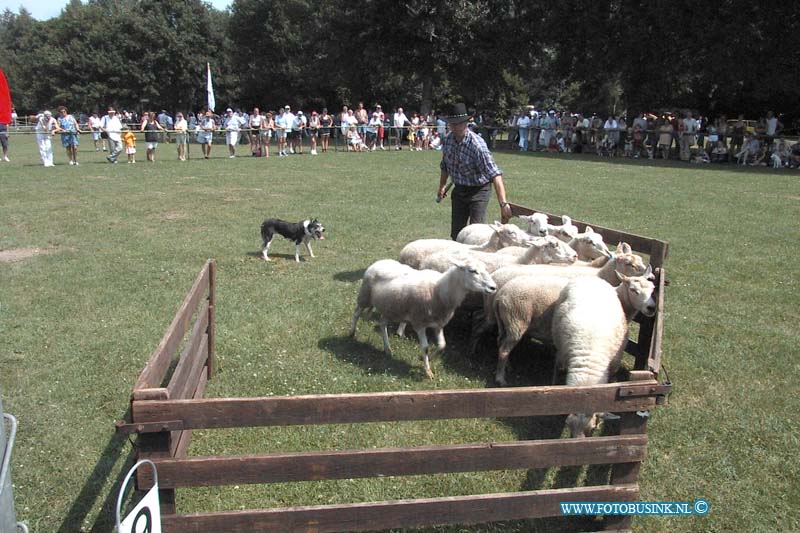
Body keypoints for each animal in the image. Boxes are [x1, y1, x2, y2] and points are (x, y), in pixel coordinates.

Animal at [348, 258, 496, 378]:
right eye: (473, 271)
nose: (493, 287)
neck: (438, 291)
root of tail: (380, 261)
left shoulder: (438, 324)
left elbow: (442, 345)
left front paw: (423, 358)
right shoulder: (419, 323)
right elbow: (425, 346)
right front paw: (427, 371)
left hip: (390, 308)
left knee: (382, 323)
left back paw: (387, 349)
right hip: (365, 297)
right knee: (356, 313)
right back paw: (351, 333)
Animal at [552, 270, 660, 436]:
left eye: (653, 289)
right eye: (633, 290)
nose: (651, 308)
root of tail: (594, 278)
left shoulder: (613, 363)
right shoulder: (561, 355)